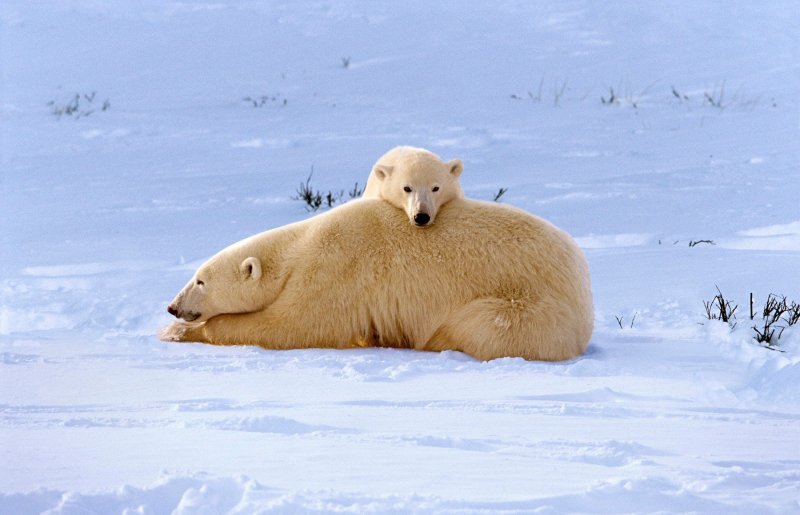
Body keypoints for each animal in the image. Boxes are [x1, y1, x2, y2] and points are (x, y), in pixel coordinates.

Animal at [161, 198, 592, 362]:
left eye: (200, 281)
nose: (172, 306)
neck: (300, 247)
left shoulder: (336, 267)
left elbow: (294, 325)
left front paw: (180, 333)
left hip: (527, 305)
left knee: (479, 324)